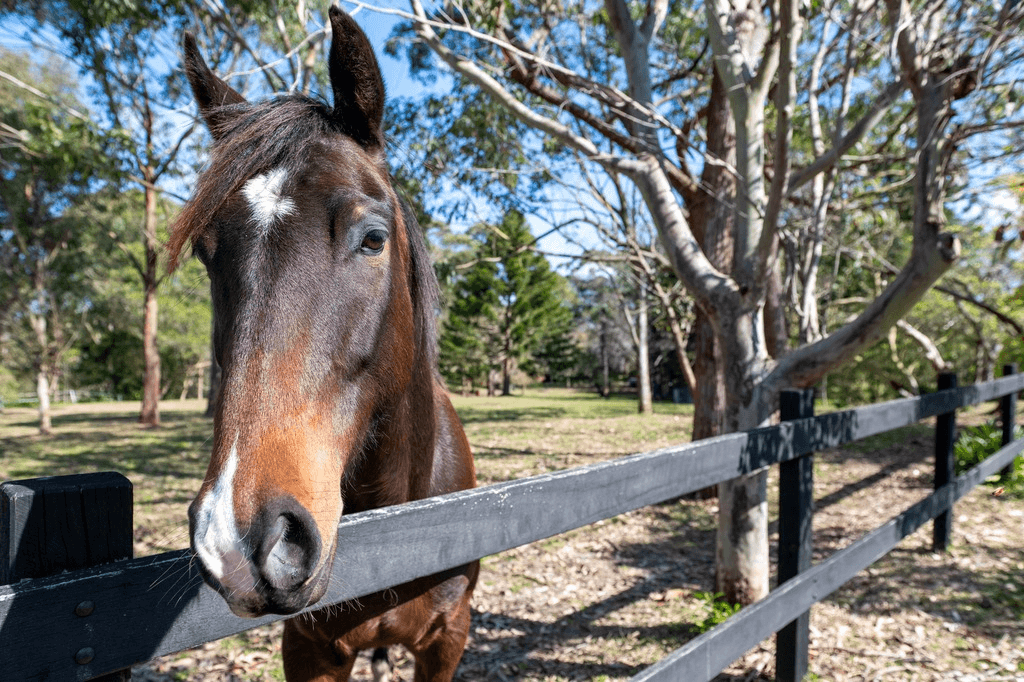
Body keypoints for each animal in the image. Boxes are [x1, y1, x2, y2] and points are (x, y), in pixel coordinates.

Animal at [167, 7, 479, 675]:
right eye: (208, 254)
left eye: (373, 238)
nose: (239, 543)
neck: (409, 530)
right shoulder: (310, 648)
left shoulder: (448, 640)